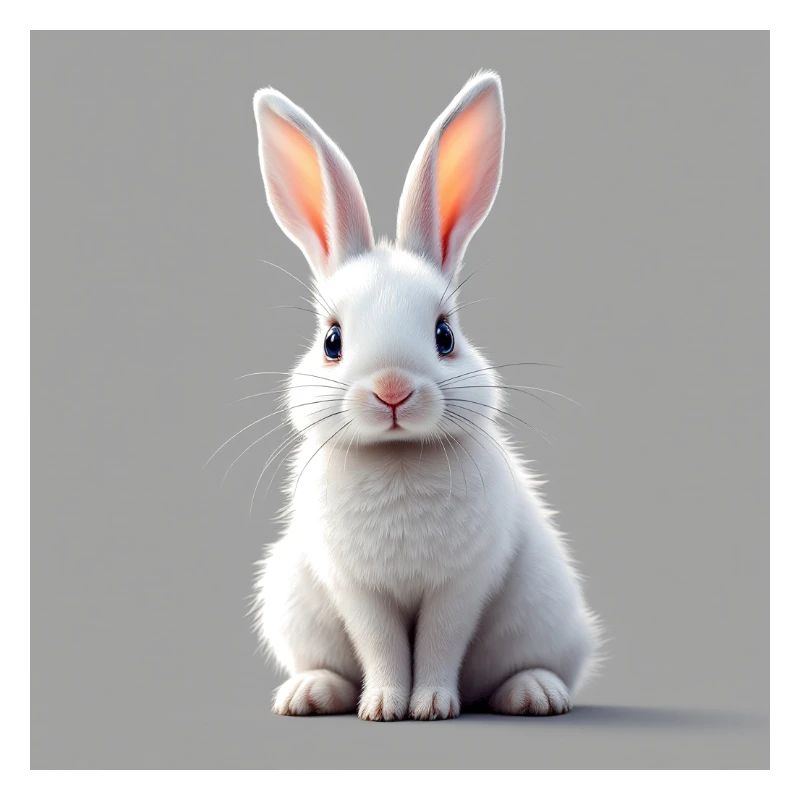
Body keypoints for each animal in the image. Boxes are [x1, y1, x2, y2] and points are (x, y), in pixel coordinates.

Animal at [247, 71, 600, 721]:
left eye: (445, 335)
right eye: (332, 340)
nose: (392, 390)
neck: (398, 458)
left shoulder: (461, 585)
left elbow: (439, 642)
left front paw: (431, 705)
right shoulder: (356, 590)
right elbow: (382, 645)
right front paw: (385, 706)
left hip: (545, 612)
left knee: (519, 667)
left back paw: (535, 693)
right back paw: (309, 693)